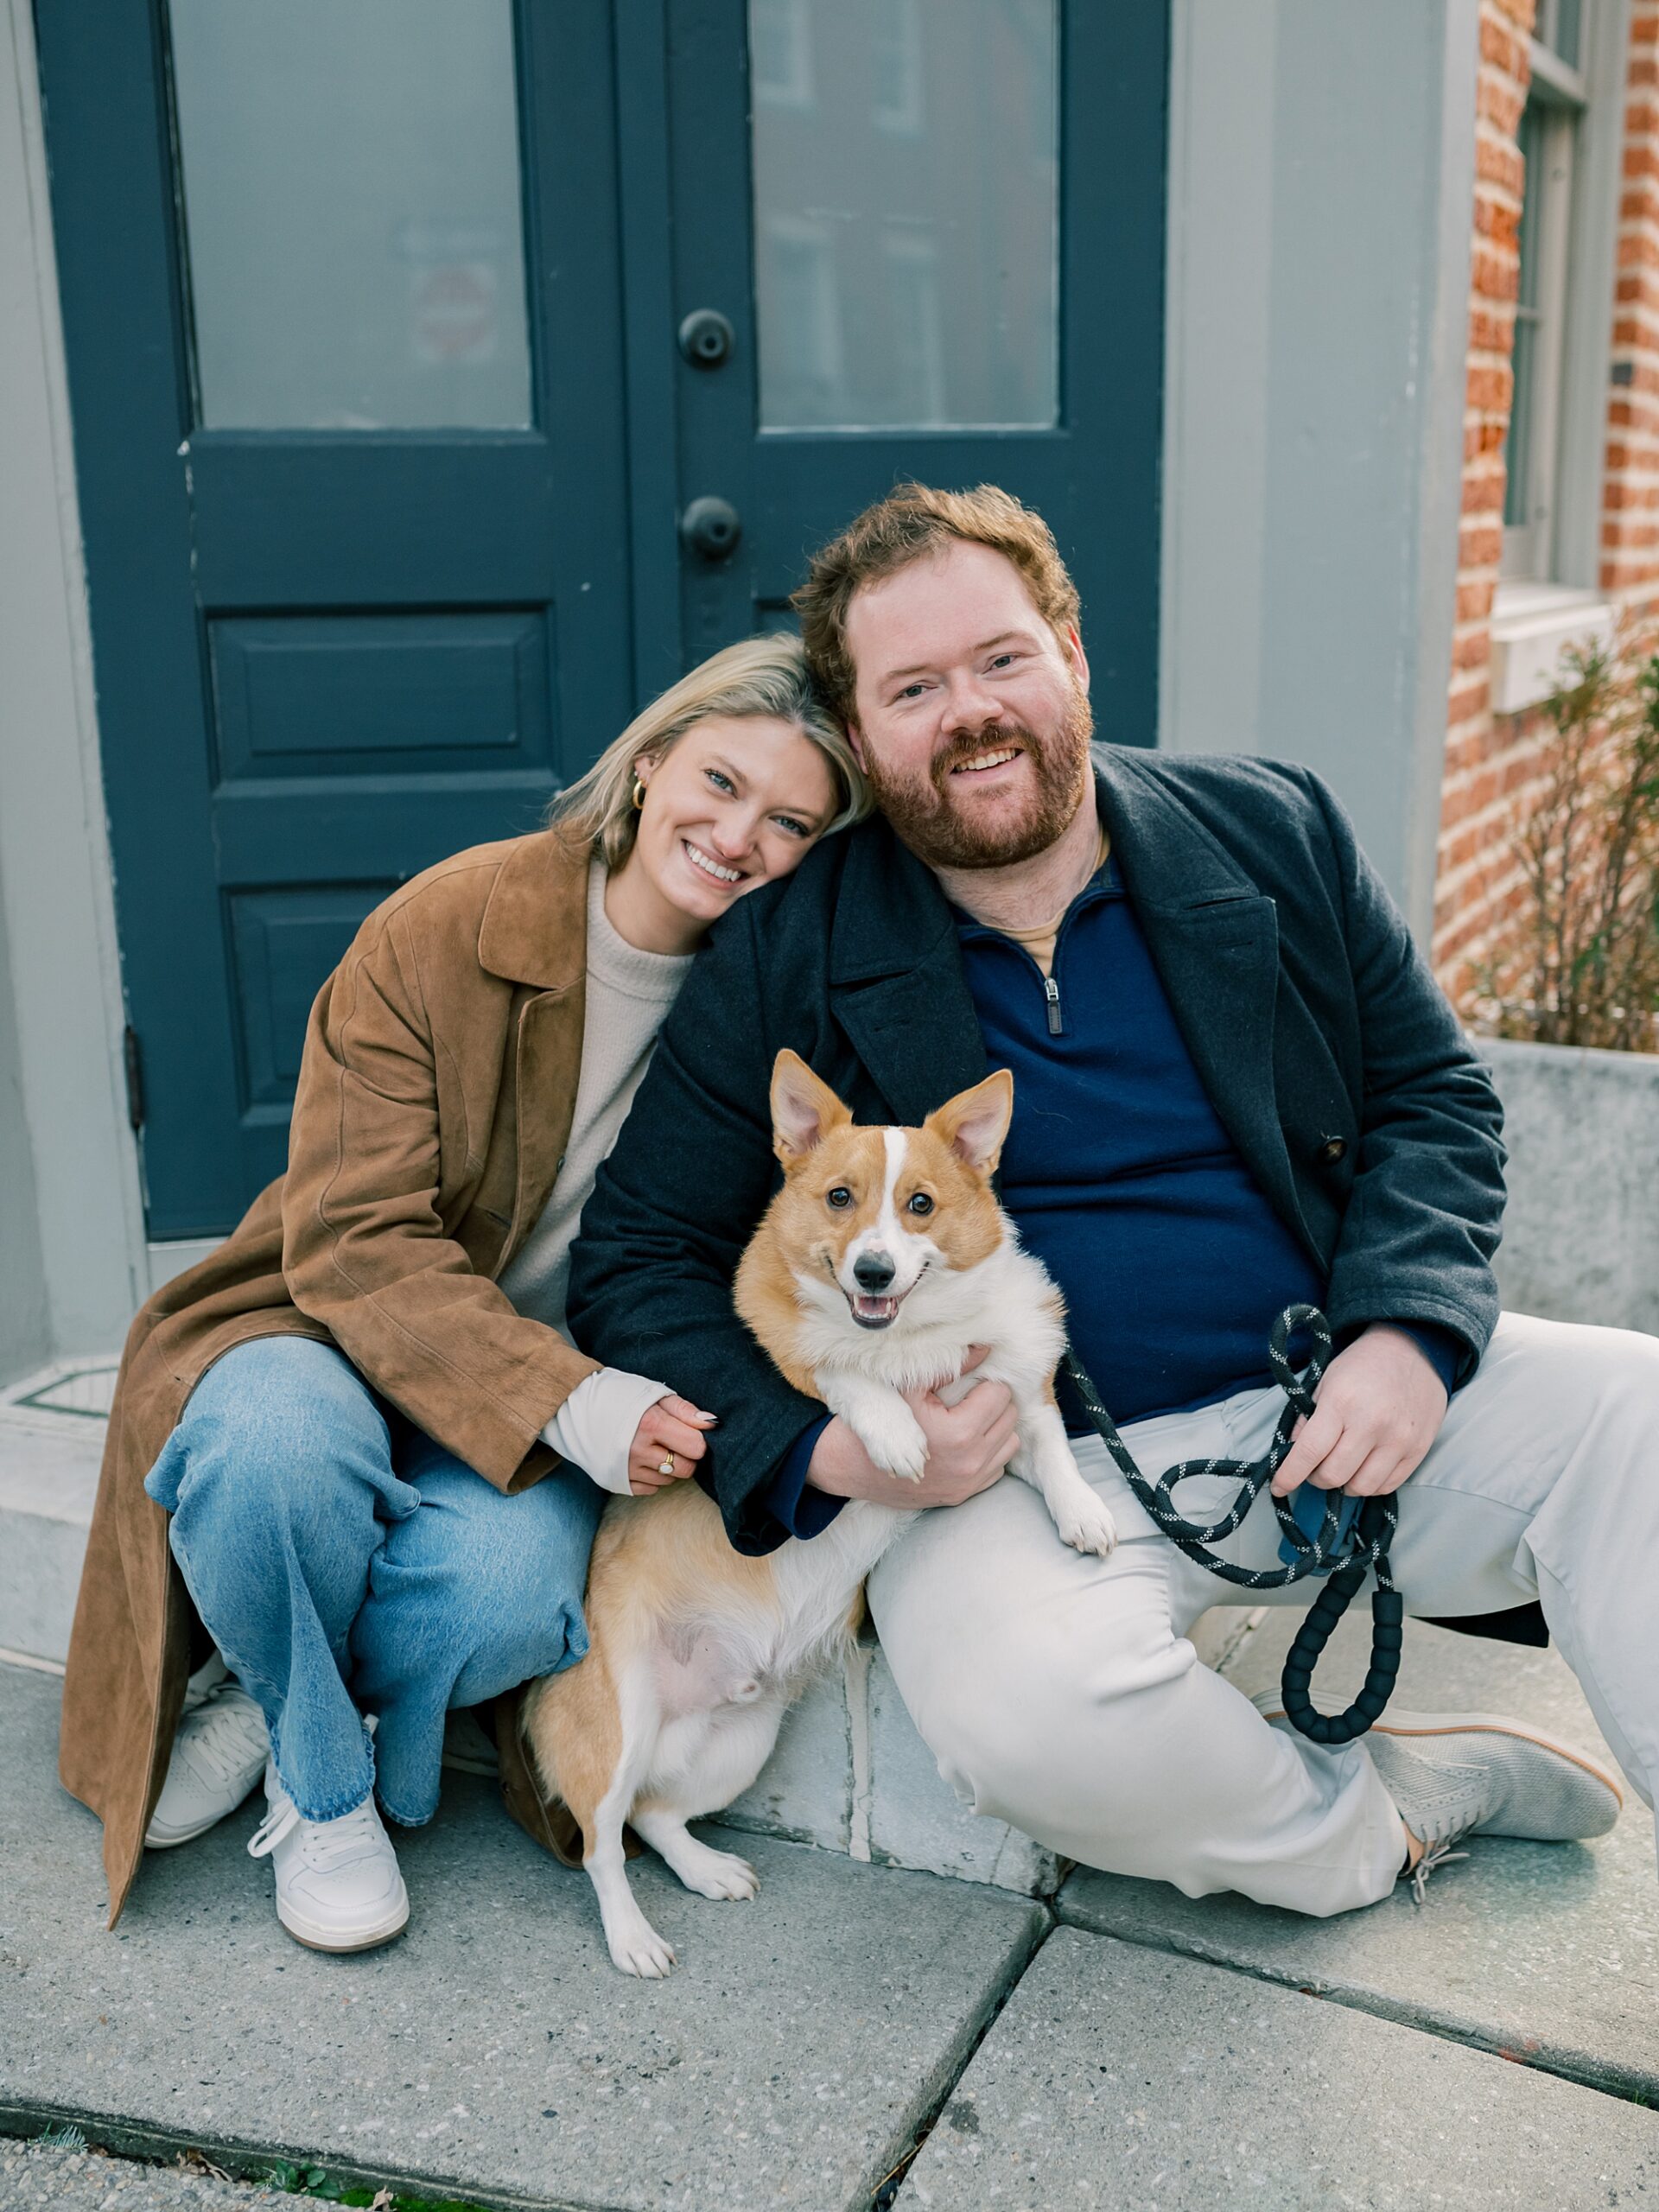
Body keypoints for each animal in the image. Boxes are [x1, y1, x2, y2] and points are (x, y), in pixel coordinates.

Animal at [519, 1044, 1119, 1981]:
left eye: (920, 1205)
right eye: (839, 1197)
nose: (872, 1272)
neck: (910, 1337)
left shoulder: (1010, 1400)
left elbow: (1049, 1440)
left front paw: (1082, 1510)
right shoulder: (791, 1353)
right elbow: (838, 1370)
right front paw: (896, 1432)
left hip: (740, 1739)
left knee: (656, 1814)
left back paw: (708, 1870)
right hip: (620, 1727)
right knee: (604, 1843)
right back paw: (633, 1938)